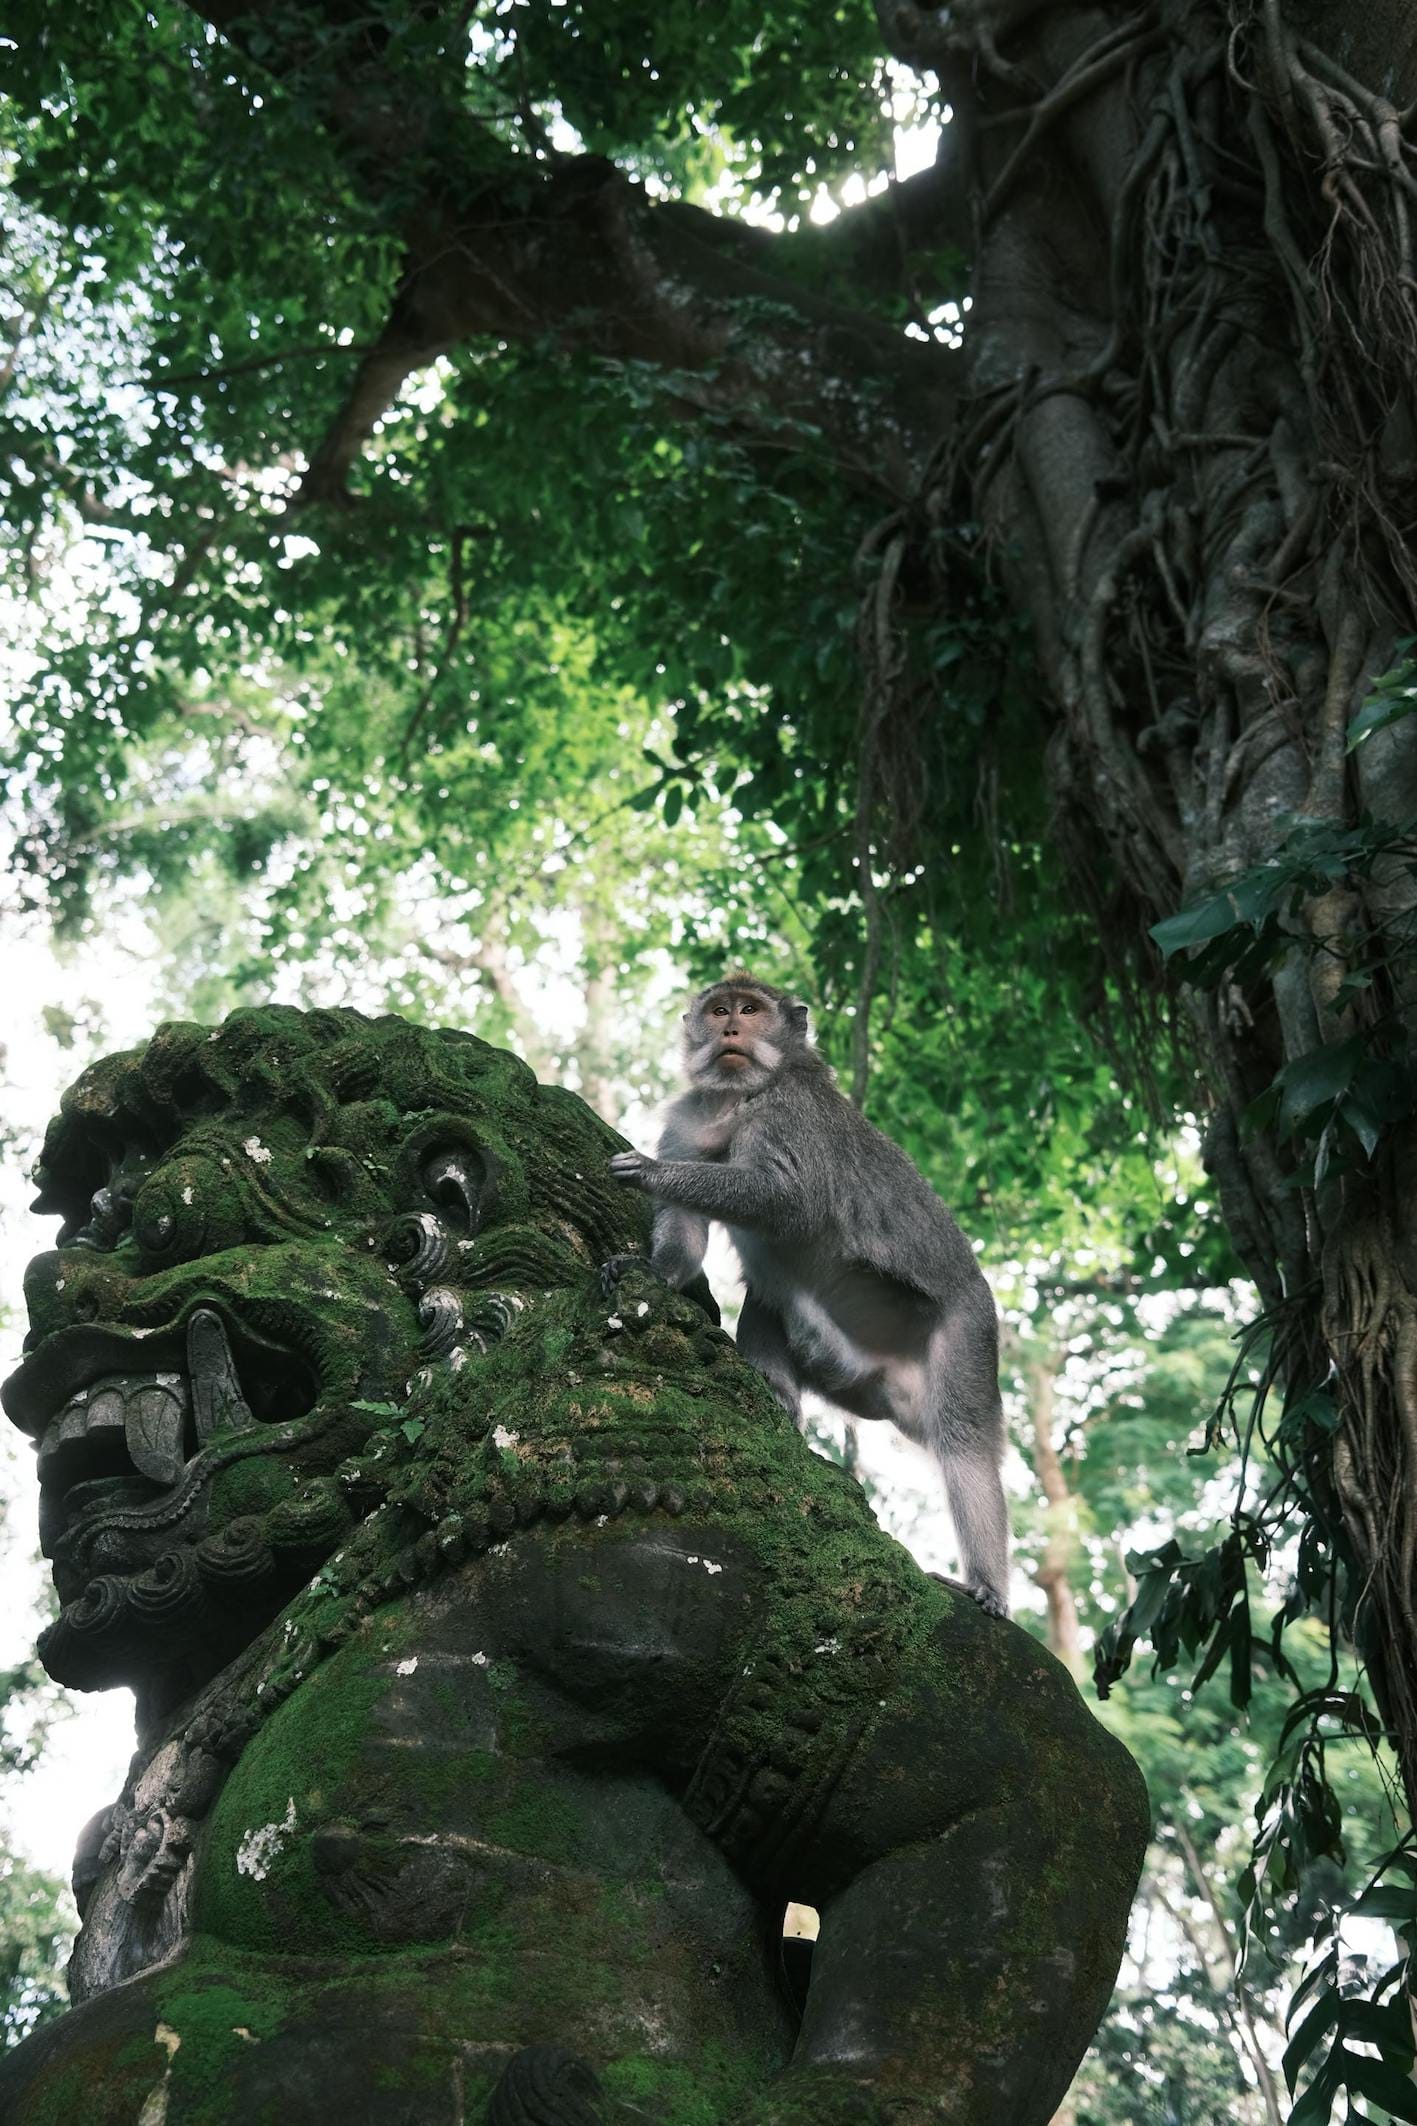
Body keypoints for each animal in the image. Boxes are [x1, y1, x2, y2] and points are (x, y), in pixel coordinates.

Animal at [609, 974, 1011, 1617]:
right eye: (719, 1010)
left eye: (750, 1010)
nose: (731, 1028)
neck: (741, 1097)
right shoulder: (692, 1117)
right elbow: (688, 1233)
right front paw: (658, 1273)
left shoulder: (790, 1113)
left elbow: (787, 1201)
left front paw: (648, 1171)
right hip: (850, 1371)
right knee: (767, 1305)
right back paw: (780, 1404)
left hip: (968, 1328)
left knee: (963, 1438)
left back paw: (987, 1586)